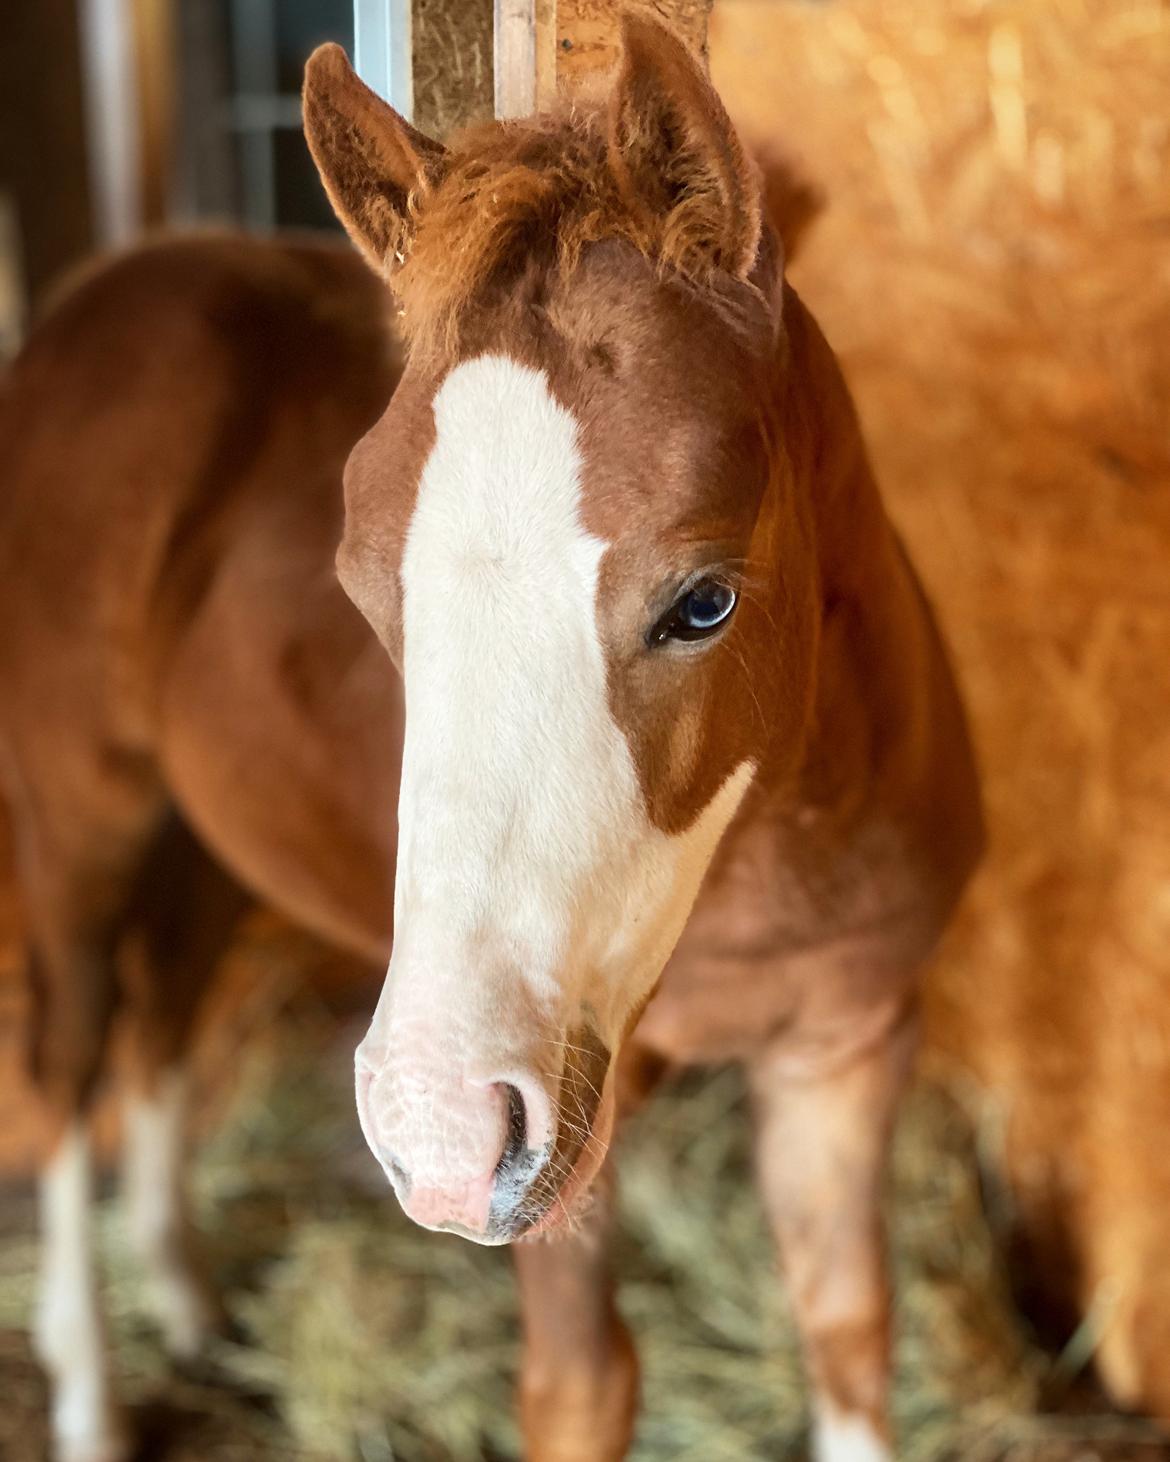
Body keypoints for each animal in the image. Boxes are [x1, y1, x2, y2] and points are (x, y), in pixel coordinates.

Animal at [0, 14, 982, 1462]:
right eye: (363, 587)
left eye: (705, 600)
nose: (437, 1128)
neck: (773, 858)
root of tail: (89, 302)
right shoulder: (572, 1130)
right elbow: (580, 1386)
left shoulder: (846, 1049)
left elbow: (848, 1332)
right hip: (85, 810)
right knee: (70, 1055)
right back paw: (87, 1388)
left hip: (206, 829)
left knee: (163, 1014)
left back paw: (187, 1303)